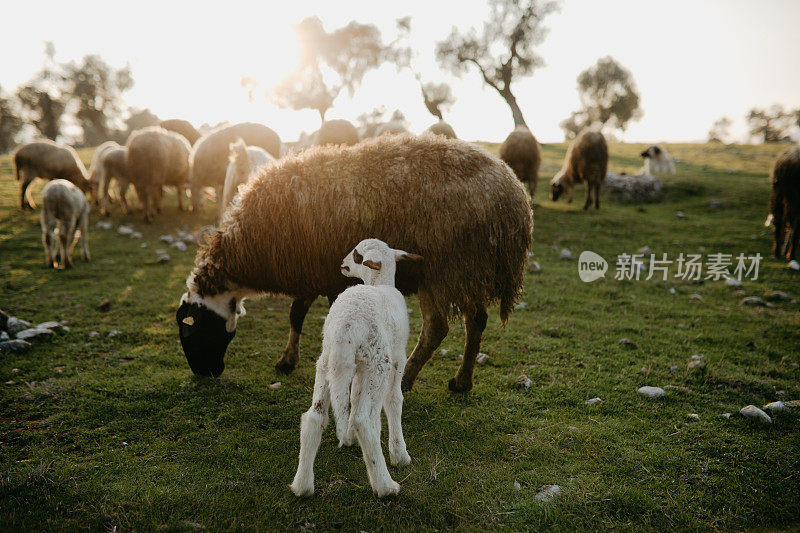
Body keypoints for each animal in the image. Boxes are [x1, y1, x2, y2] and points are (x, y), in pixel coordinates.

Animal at [178, 133, 536, 390]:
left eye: (191, 334)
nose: (206, 373)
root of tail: (516, 199)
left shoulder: (330, 277)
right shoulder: (312, 271)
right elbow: (296, 315)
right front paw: (288, 360)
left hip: (454, 267)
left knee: (459, 324)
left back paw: (434, 380)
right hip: (444, 272)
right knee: (453, 325)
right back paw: (443, 381)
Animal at [290, 239, 422, 496]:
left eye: (357, 255)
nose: (342, 264)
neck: (380, 283)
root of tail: (346, 324)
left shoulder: (361, 368)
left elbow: (353, 396)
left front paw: (349, 435)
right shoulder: (398, 359)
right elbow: (394, 400)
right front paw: (399, 454)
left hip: (329, 362)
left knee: (314, 416)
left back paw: (302, 485)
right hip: (379, 362)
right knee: (365, 419)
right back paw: (385, 485)